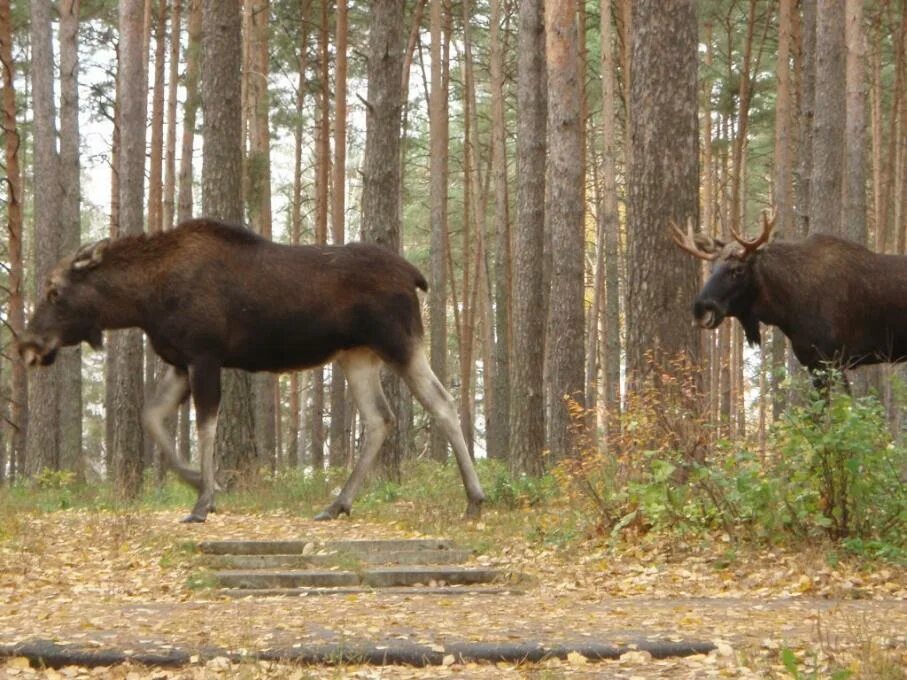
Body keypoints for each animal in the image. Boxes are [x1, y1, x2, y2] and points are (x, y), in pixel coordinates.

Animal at [17, 218, 486, 520]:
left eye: (55, 291)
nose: (28, 344)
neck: (142, 302)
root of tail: (415, 274)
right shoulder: (180, 361)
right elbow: (151, 417)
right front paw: (198, 481)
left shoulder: (204, 355)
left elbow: (205, 426)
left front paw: (204, 501)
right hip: (356, 356)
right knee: (380, 418)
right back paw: (337, 504)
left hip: (398, 342)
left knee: (442, 402)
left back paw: (474, 498)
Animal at [672, 210, 907, 382]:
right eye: (712, 268)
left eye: (738, 270)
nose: (700, 307)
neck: (785, 310)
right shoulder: (812, 361)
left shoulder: (831, 360)